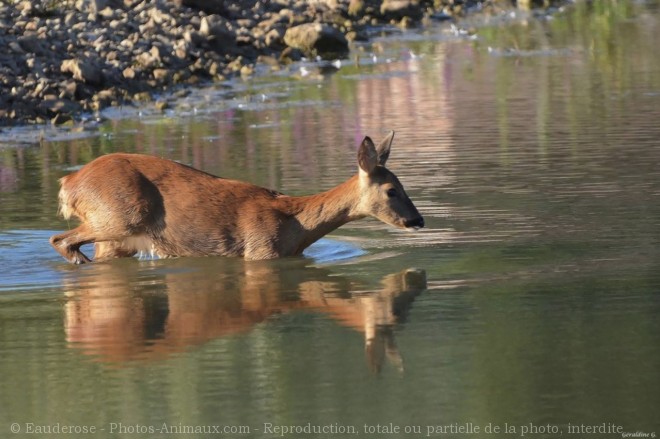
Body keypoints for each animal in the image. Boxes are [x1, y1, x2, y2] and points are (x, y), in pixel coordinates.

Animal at [50, 131, 422, 264]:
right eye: (391, 190)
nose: (417, 220)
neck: (295, 227)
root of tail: (69, 182)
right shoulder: (259, 250)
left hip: (117, 239)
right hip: (118, 217)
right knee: (59, 239)